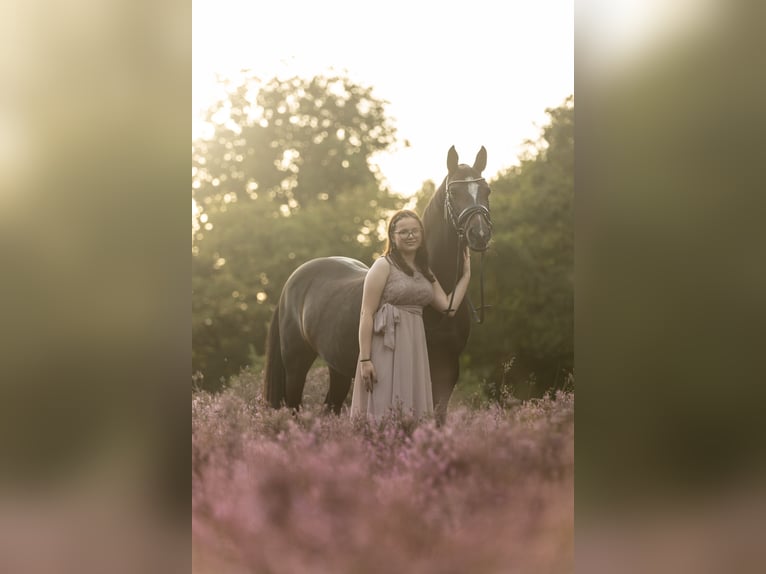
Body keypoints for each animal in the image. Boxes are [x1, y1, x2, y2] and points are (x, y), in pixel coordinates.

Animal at [263, 146, 492, 422]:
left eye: (487, 190)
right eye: (455, 193)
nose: (480, 234)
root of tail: (292, 282)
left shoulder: (448, 368)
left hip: (338, 367)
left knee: (330, 407)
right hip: (296, 365)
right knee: (294, 409)